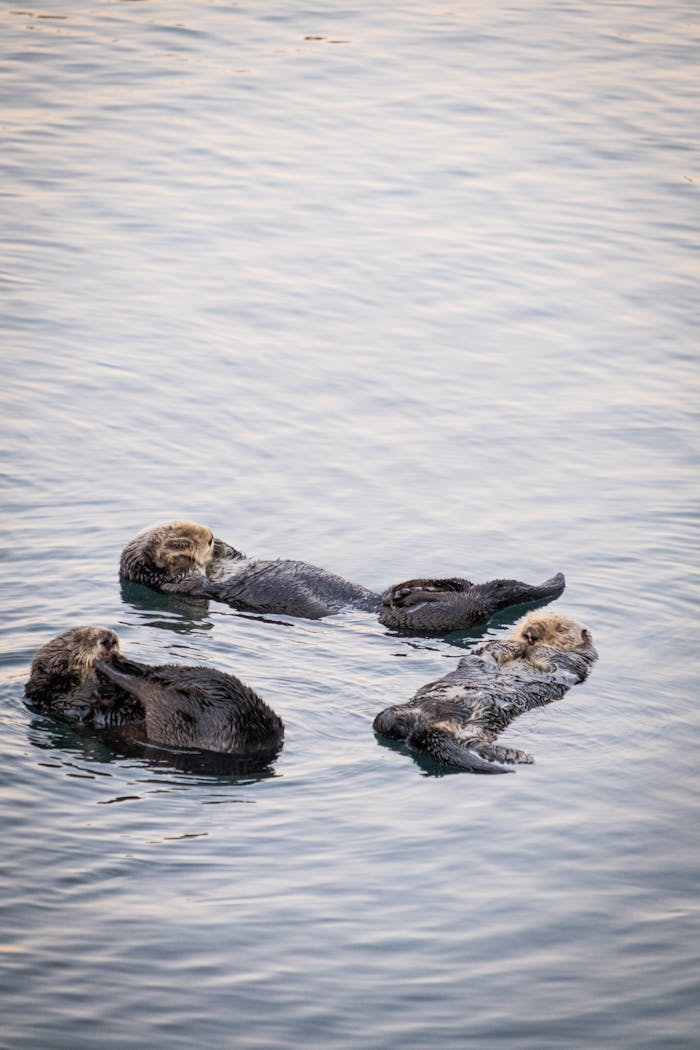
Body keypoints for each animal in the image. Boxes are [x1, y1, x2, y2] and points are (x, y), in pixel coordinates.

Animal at [25, 627, 284, 759]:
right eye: (80, 637)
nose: (110, 638)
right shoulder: (63, 701)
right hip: (180, 718)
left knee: (161, 673)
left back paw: (126, 665)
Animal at [119, 520, 566, 634]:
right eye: (182, 541)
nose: (208, 535)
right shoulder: (186, 586)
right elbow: (193, 582)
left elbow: (237, 556)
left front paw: (225, 544)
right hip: (422, 619)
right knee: (476, 600)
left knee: (470, 588)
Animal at [372, 611, 598, 773]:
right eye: (528, 620)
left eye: (560, 628)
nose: (530, 631)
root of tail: (423, 724)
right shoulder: (487, 651)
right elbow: (489, 651)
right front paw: (513, 644)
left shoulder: (572, 665)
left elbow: (554, 660)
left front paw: (539, 648)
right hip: (402, 713)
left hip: (480, 723)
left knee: (470, 744)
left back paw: (515, 756)